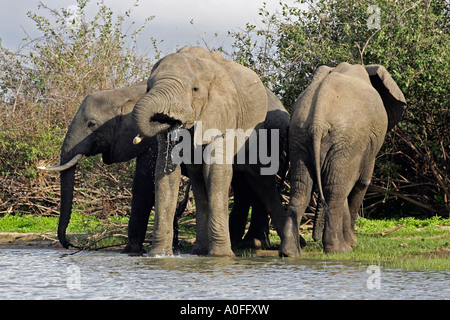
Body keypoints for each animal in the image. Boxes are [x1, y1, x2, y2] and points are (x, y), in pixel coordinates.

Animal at [288, 62, 408, 254]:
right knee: (336, 191)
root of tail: (319, 120)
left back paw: (290, 253)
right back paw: (340, 250)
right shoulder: (365, 145)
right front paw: (353, 242)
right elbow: (361, 183)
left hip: (300, 135)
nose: (314, 238)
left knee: (302, 190)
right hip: (347, 139)